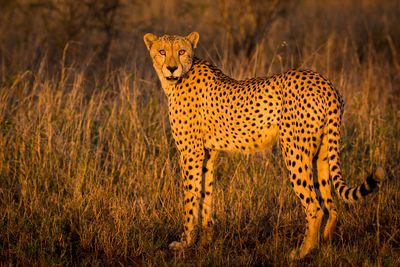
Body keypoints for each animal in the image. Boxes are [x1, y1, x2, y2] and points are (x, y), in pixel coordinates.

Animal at [144, 31, 384, 260]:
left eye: (182, 51)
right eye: (162, 51)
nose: (172, 68)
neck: (178, 79)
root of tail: (324, 82)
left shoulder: (191, 152)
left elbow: (190, 196)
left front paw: (184, 242)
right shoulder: (208, 153)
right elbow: (206, 195)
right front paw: (205, 241)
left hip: (294, 152)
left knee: (314, 206)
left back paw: (302, 252)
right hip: (323, 151)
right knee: (330, 203)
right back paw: (324, 242)